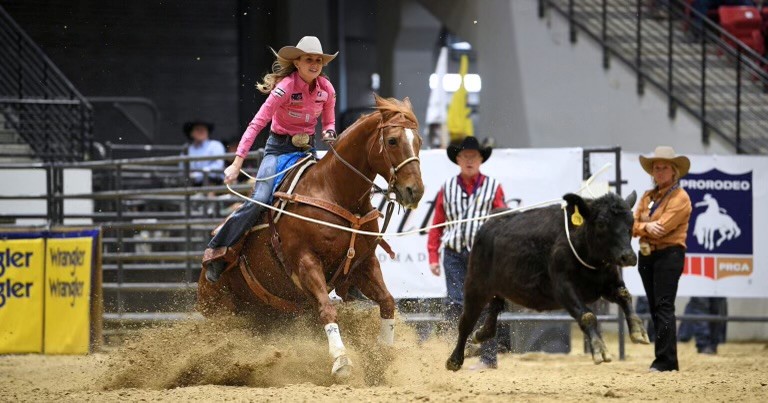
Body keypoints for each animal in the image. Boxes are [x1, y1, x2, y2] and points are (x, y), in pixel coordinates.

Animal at [196, 94, 424, 379]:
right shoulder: (305, 262)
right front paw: (341, 360)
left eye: (419, 141)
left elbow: (387, 301)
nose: (415, 191)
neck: (334, 191)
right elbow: (327, 308)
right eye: (392, 140)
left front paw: (383, 355)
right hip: (222, 311)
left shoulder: (364, 263)